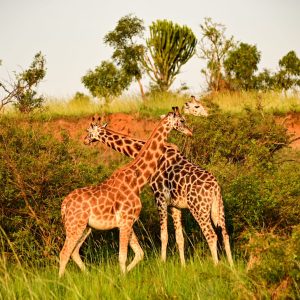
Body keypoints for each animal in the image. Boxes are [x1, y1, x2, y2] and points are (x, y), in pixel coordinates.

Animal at [58, 107, 191, 276]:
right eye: (182, 120)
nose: (190, 132)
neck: (137, 181)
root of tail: (64, 205)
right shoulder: (126, 220)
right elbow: (123, 256)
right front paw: (122, 277)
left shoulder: (129, 221)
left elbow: (139, 253)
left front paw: (123, 275)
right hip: (75, 225)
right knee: (64, 253)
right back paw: (61, 281)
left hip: (85, 227)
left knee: (73, 251)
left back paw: (87, 275)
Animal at [85, 102, 234, 264]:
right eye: (183, 120)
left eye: (88, 131)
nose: (85, 140)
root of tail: (215, 188)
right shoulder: (175, 205)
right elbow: (179, 238)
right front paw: (183, 265)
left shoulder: (159, 197)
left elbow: (164, 235)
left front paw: (162, 263)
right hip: (219, 208)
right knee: (225, 234)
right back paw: (231, 266)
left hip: (199, 208)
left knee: (211, 235)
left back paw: (217, 265)